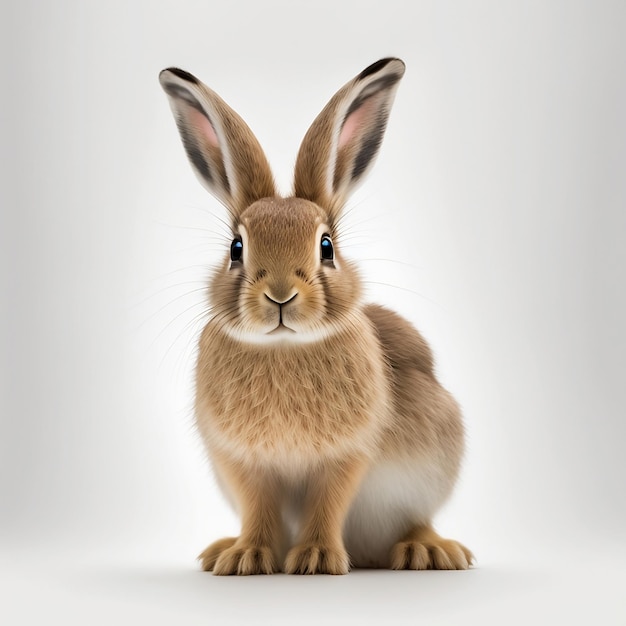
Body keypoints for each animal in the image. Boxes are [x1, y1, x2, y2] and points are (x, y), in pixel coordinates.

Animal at [158, 56, 470, 572]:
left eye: (326, 247)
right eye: (236, 249)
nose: (281, 295)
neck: (285, 347)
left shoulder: (346, 456)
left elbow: (329, 501)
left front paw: (318, 559)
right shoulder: (244, 463)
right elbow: (258, 507)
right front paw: (246, 557)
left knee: (413, 520)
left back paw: (428, 550)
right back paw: (222, 548)